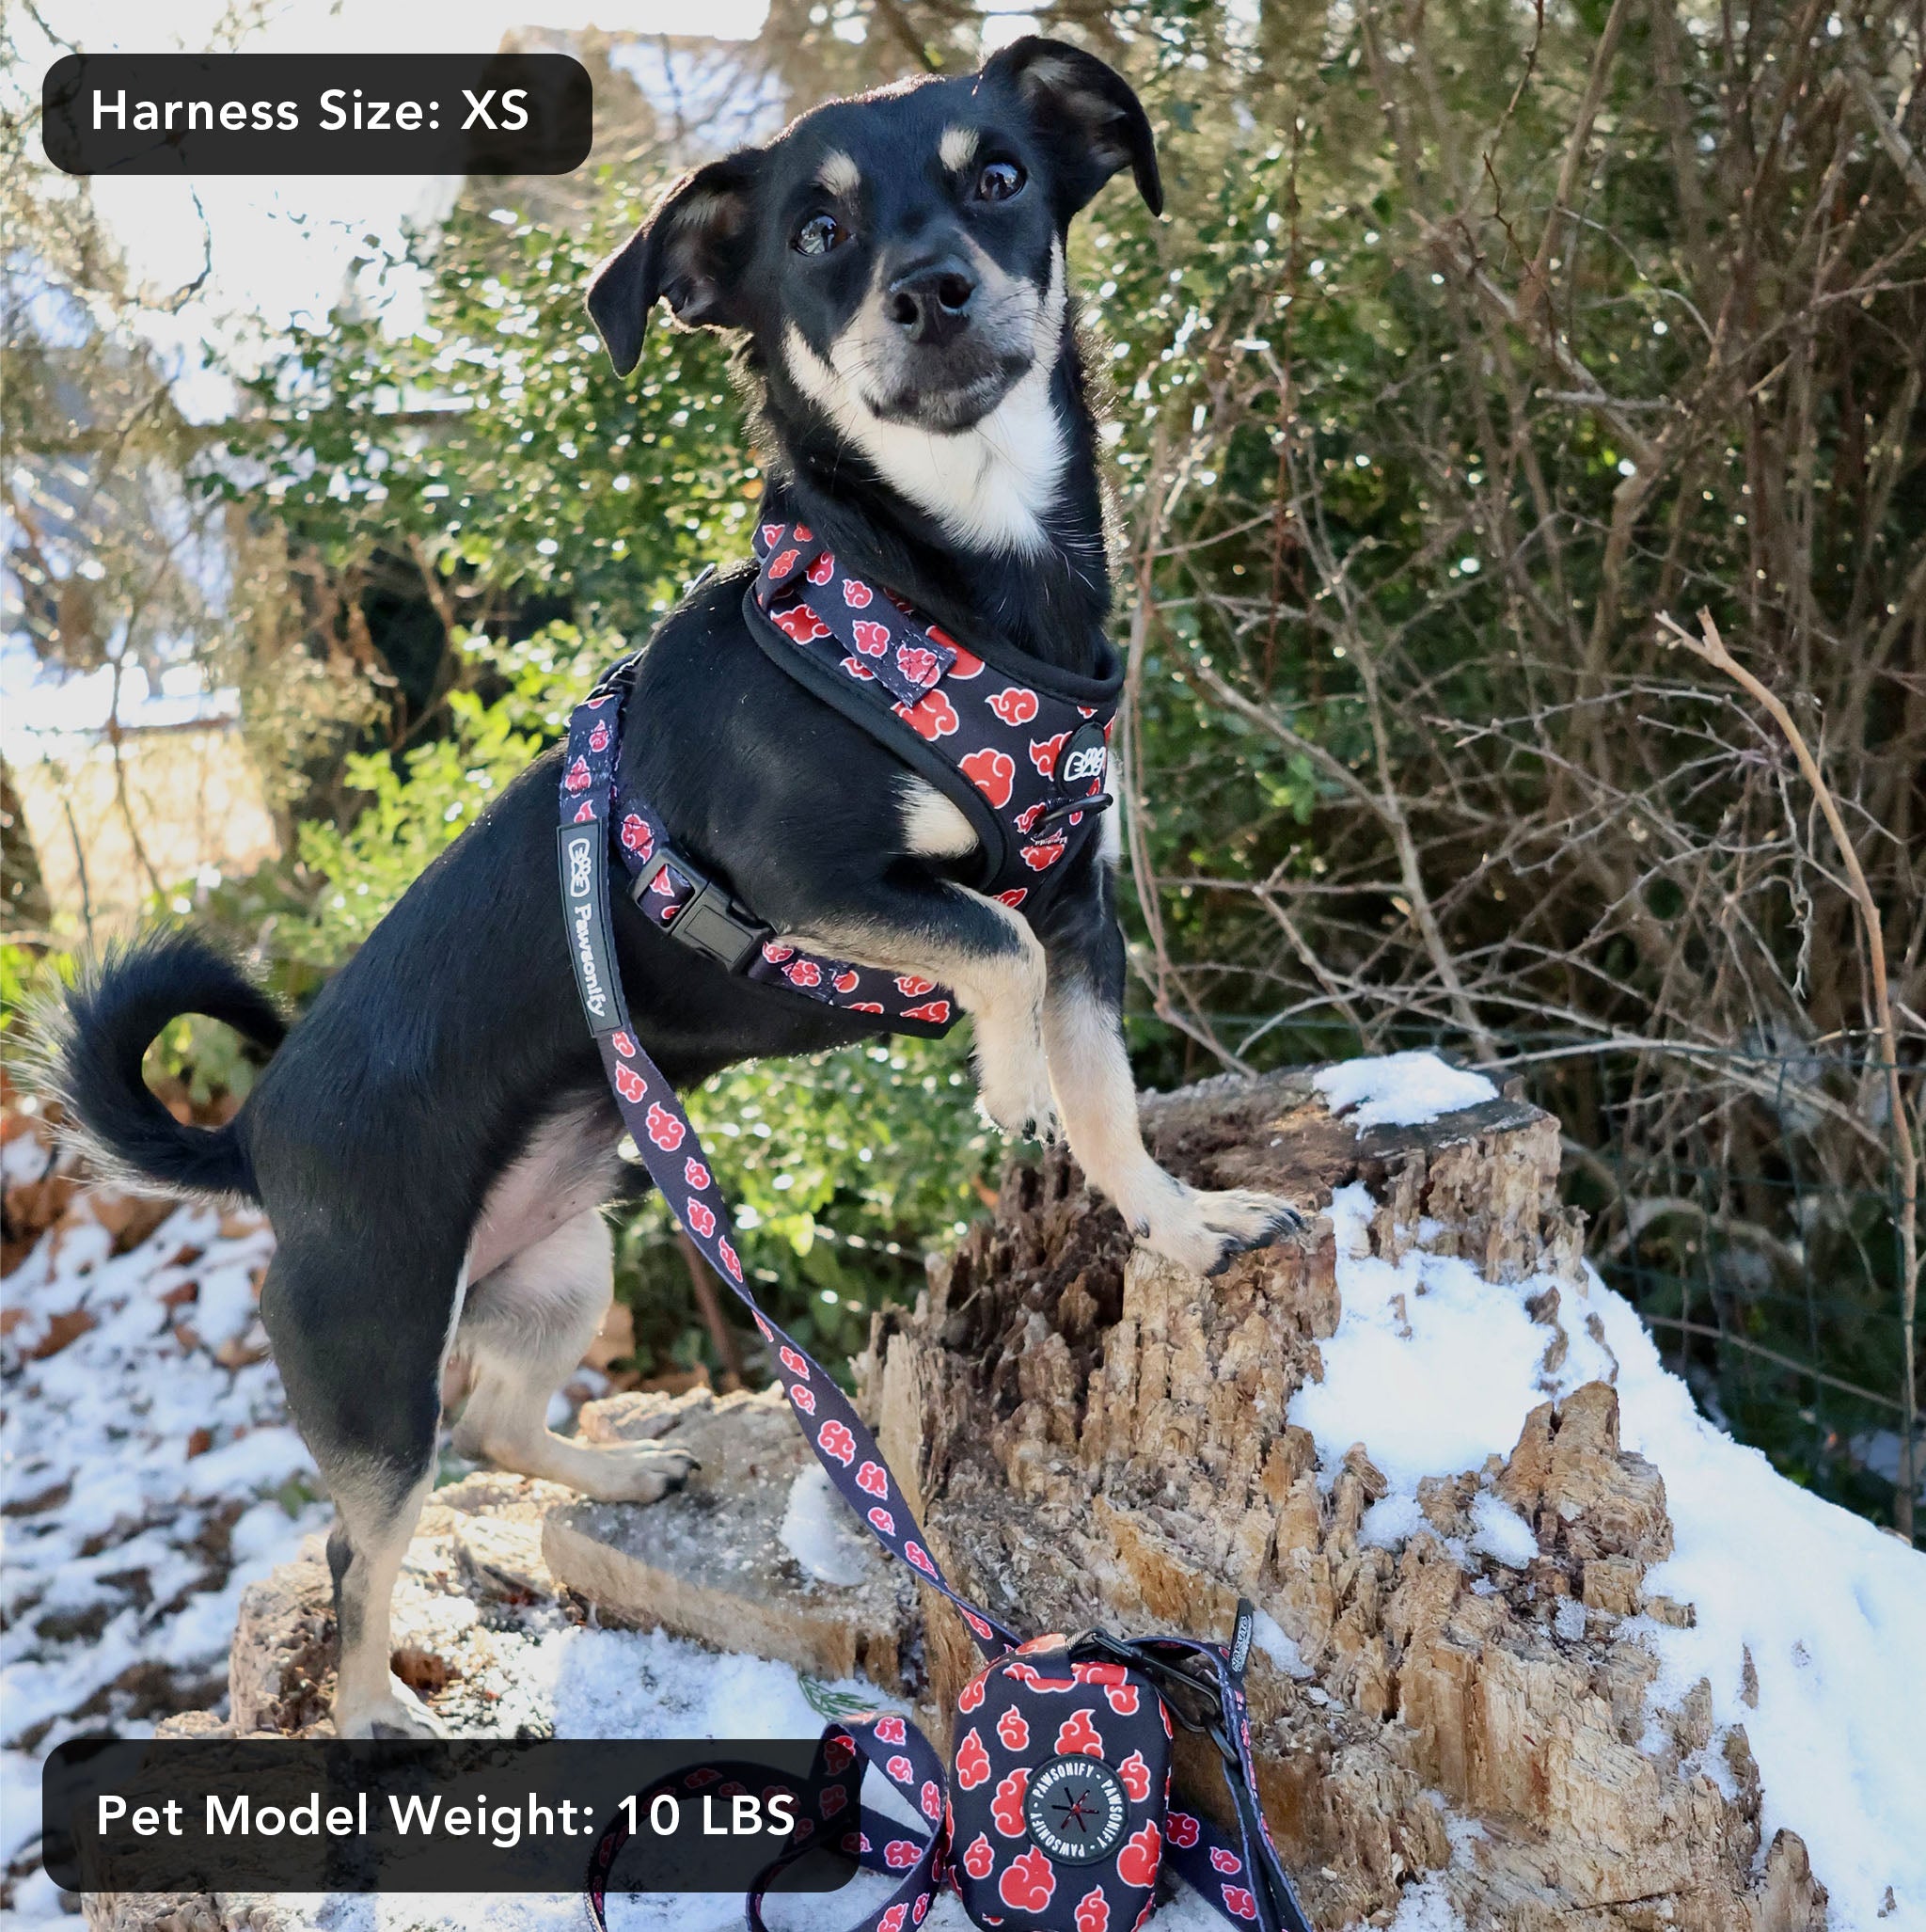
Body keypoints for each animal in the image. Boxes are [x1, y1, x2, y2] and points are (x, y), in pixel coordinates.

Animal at [59, 41, 1298, 1738]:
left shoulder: (1080, 915)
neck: (949, 587)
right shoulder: (809, 878)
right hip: (375, 1370)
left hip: (554, 1265)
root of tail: (251, 1137)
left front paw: (1181, 1225)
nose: (930, 290)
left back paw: (618, 1470)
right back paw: (382, 1718)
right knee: (357, 1550)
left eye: (999, 180)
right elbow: (982, 947)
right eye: (816, 235)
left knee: (500, 1427)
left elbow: (1106, 1102)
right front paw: (1001, 1078)